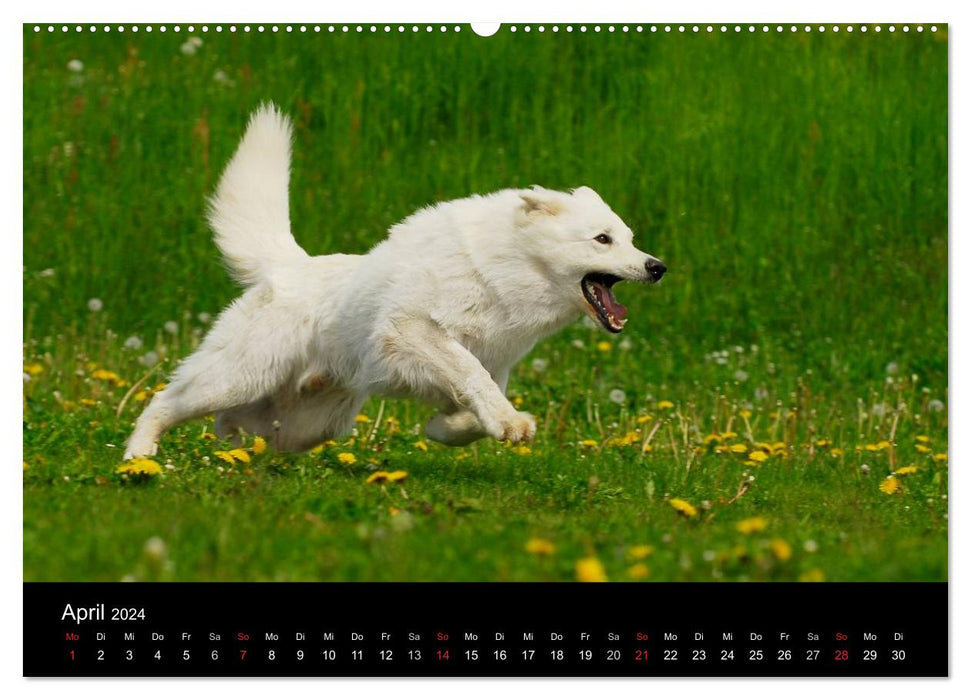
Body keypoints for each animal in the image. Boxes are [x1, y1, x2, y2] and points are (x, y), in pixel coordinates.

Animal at [123, 104, 668, 460]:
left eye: (630, 240)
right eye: (602, 240)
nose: (657, 267)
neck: (503, 272)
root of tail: (287, 266)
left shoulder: (494, 365)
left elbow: (472, 408)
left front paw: (449, 427)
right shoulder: (415, 330)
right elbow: (471, 375)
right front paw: (507, 422)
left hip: (305, 426)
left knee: (228, 424)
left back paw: (232, 454)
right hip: (238, 377)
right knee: (165, 402)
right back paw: (139, 459)